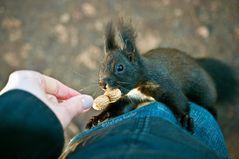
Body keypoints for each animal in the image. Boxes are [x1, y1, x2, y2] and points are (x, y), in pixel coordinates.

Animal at [85, 19, 238, 133]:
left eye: (120, 67)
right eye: (101, 66)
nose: (102, 83)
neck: (138, 86)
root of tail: (199, 64)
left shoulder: (164, 84)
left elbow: (178, 99)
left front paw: (184, 117)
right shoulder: (129, 98)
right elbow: (117, 109)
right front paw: (96, 119)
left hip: (202, 91)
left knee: (210, 104)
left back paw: (213, 111)